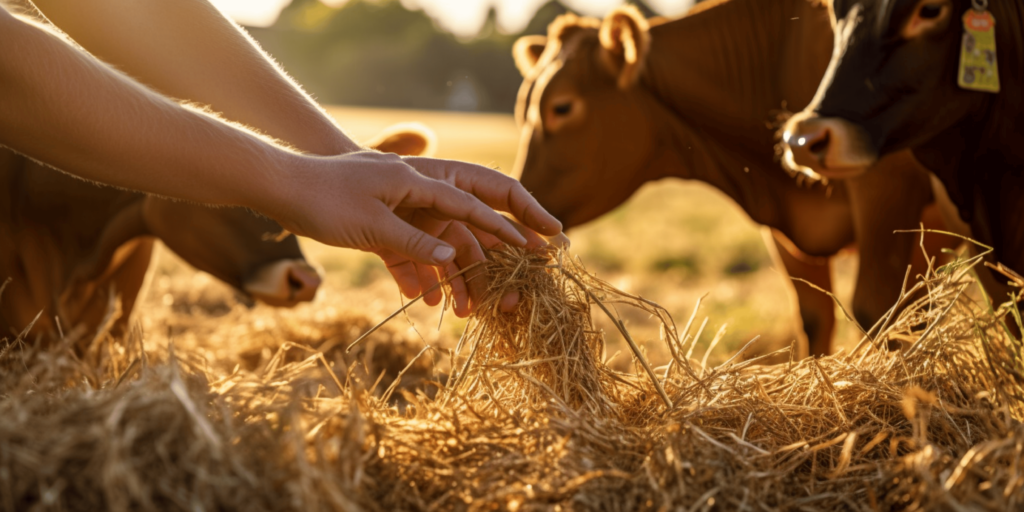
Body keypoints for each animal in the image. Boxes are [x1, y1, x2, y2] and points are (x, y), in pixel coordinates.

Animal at [507, 1, 946, 356]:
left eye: (561, 107)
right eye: (522, 106)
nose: (518, 210)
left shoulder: (886, 190)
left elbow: (883, 311)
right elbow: (816, 317)